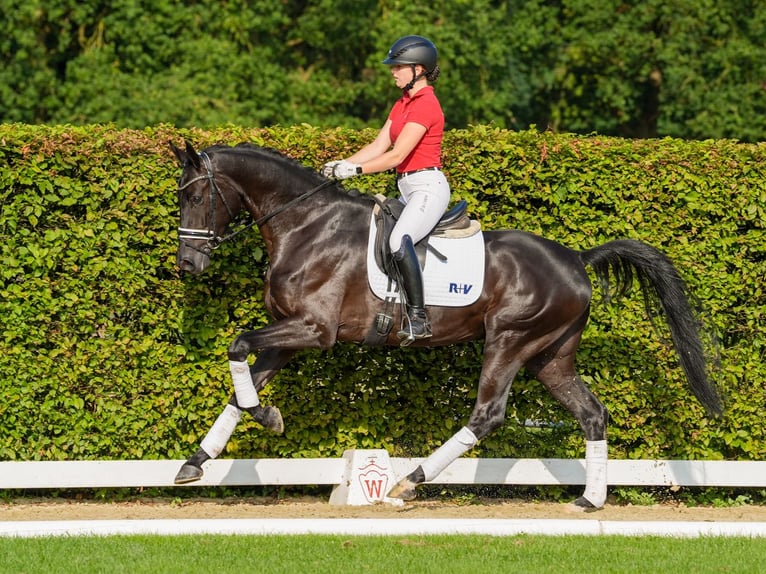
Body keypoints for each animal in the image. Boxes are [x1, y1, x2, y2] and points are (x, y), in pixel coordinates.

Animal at [171, 142, 724, 510]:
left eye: (195, 197)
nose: (188, 266)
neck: (306, 225)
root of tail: (576, 258)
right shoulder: (291, 332)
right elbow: (242, 379)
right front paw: (199, 459)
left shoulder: (313, 330)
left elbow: (237, 346)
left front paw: (266, 418)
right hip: (550, 355)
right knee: (591, 413)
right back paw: (589, 500)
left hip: (510, 340)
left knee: (487, 415)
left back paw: (408, 481)